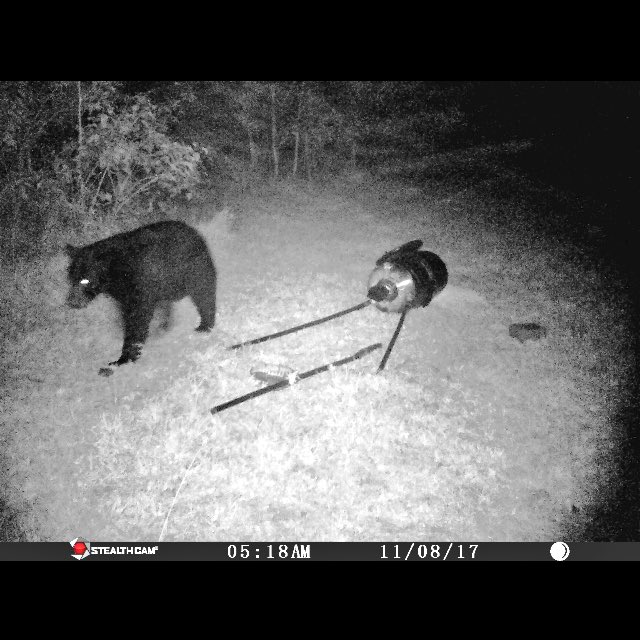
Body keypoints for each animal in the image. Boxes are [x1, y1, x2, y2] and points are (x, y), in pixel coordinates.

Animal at [65, 220, 217, 373]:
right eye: (70, 278)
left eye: (85, 280)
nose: (71, 302)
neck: (115, 274)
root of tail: (193, 230)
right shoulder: (124, 295)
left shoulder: (140, 285)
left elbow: (137, 319)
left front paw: (124, 358)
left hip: (193, 270)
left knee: (204, 293)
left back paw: (204, 325)